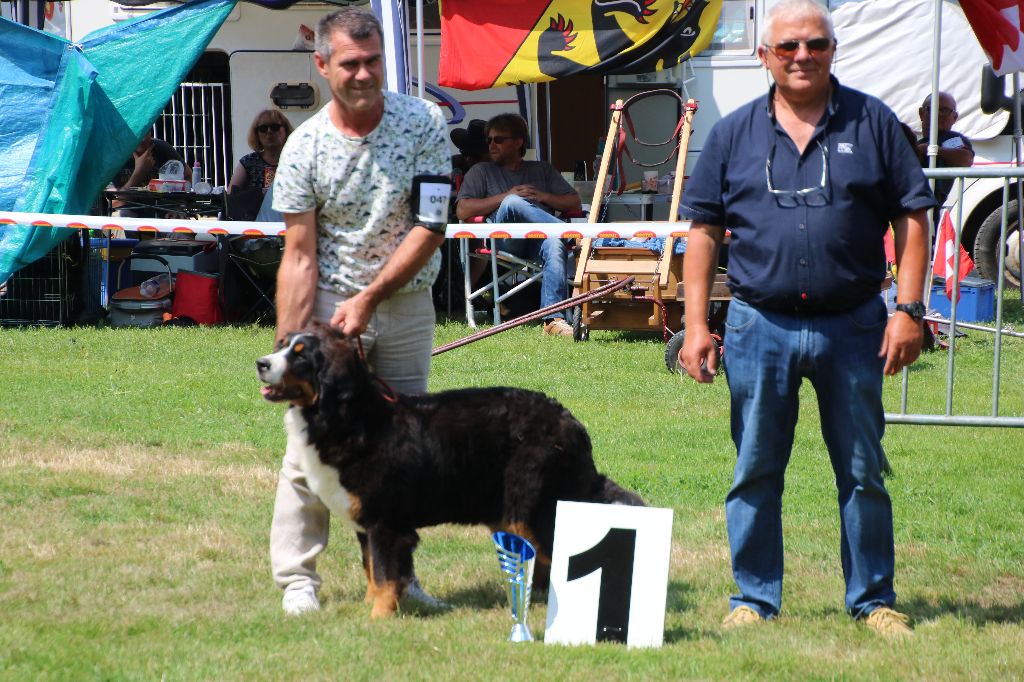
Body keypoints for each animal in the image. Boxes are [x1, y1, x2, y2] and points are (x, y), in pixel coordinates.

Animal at [256, 323, 638, 614]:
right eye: (282, 345)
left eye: (300, 354)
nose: (261, 363)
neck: (352, 418)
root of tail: (570, 423)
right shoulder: (366, 522)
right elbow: (372, 570)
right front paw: (371, 609)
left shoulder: (385, 522)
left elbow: (384, 574)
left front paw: (378, 618)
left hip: (530, 508)